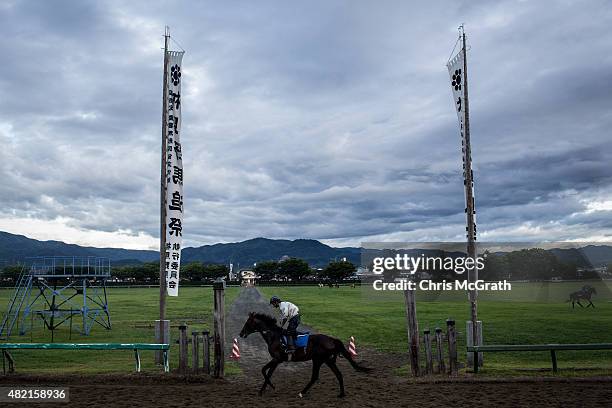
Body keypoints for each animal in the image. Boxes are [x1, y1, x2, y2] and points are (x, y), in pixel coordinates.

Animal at [240, 312, 372, 398]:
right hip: (327, 360)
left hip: (318, 360)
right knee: (338, 374)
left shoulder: (277, 359)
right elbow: (267, 372)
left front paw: (270, 387)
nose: (241, 334)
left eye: (247, 323)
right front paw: (263, 390)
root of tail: (332, 339)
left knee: (315, 377)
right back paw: (341, 394)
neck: (274, 337)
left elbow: (265, 371)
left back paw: (302, 392)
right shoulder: (276, 360)